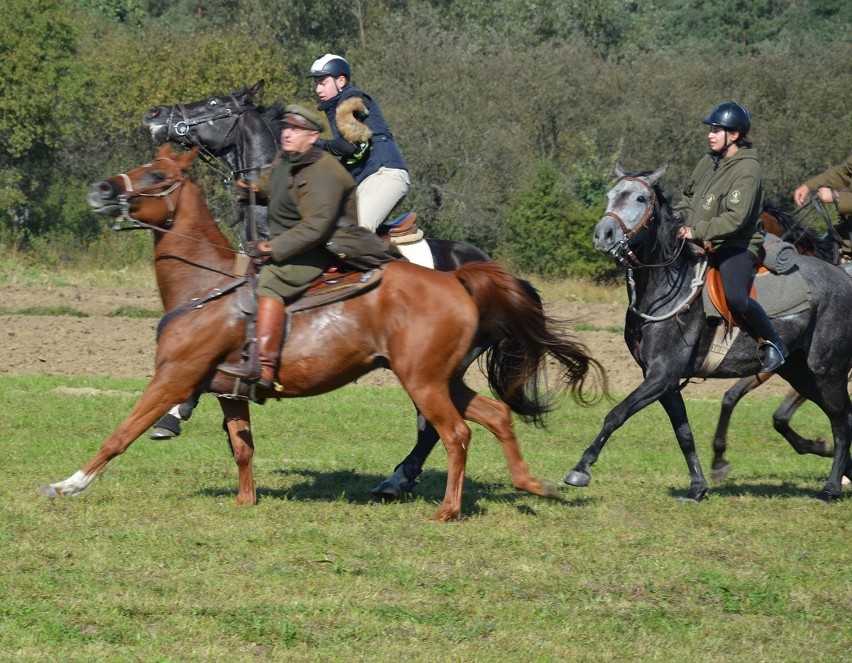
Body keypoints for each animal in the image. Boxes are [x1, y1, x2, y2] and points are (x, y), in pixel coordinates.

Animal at [38, 147, 600, 524]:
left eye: (157, 175)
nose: (101, 190)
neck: (207, 287)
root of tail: (456, 277)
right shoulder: (227, 392)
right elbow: (242, 448)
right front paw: (245, 500)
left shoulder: (174, 380)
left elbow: (121, 434)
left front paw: (68, 485)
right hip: (444, 380)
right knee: (496, 416)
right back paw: (534, 485)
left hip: (422, 382)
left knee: (454, 434)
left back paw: (446, 508)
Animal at [140, 80, 500, 496]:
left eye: (214, 102)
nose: (154, 114)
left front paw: (172, 414)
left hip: (430, 363)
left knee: (431, 424)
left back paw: (397, 480)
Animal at [564, 162, 852, 504]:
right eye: (611, 195)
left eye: (640, 198)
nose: (603, 234)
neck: (666, 288)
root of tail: (844, 279)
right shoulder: (665, 383)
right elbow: (684, 434)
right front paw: (697, 487)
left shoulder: (660, 375)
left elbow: (616, 414)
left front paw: (581, 468)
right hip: (801, 374)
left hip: (827, 373)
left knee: (842, 422)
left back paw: (832, 486)